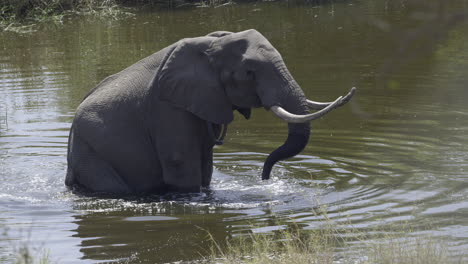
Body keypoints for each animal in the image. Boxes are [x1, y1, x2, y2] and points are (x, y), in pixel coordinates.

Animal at [64, 29, 352, 194]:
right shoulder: (167, 108)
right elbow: (181, 165)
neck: (210, 45)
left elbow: (206, 166)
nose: (265, 180)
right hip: (91, 154)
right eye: (249, 72)